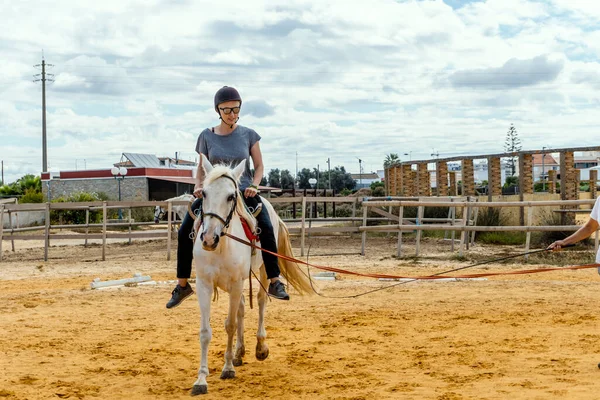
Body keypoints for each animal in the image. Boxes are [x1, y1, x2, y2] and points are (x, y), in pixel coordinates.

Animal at [191, 158, 314, 396]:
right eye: (204, 194)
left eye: (231, 196)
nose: (209, 239)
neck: (222, 246)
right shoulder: (205, 284)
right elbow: (205, 331)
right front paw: (201, 379)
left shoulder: (236, 283)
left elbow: (230, 325)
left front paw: (228, 368)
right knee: (240, 309)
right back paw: (240, 352)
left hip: (263, 272)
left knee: (260, 301)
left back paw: (260, 347)